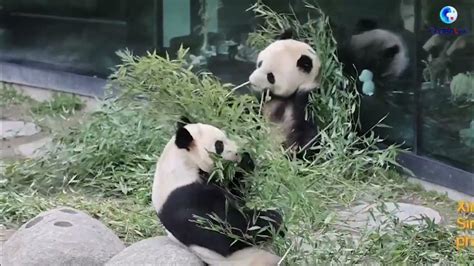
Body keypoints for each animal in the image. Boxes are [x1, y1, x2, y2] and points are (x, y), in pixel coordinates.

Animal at [153, 117, 286, 264]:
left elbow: (238, 193)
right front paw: (273, 218)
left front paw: (246, 161)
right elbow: (229, 233)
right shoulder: (185, 200)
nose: (237, 152)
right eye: (219, 145)